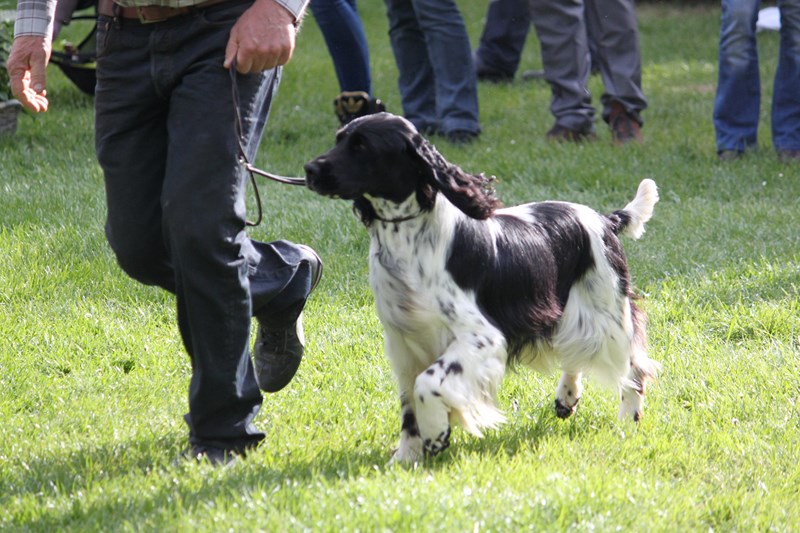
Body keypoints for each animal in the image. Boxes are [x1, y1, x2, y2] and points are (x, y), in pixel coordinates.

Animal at [304, 112, 660, 462]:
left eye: (361, 146)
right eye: (339, 139)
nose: (310, 169)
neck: (407, 239)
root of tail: (605, 220)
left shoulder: (480, 337)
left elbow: (427, 383)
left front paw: (436, 434)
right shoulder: (403, 342)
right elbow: (408, 404)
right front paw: (406, 458)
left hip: (608, 312)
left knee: (633, 369)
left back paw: (627, 420)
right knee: (576, 351)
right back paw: (566, 398)